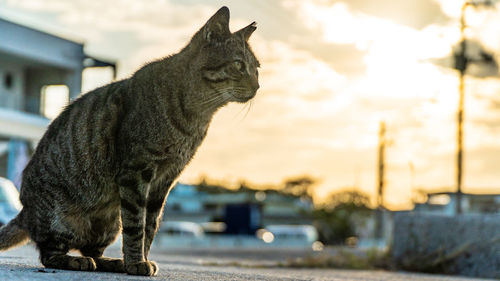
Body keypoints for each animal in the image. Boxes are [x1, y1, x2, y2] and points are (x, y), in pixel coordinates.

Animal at [0, 6, 262, 276]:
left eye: (258, 68)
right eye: (239, 65)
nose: (258, 86)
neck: (197, 115)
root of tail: (25, 211)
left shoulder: (164, 180)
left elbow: (150, 226)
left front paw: (139, 260)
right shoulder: (137, 172)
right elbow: (136, 225)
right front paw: (137, 262)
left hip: (110, 223)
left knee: (93, 250)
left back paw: (114, 262)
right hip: (62, 219)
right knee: (49, 254)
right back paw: (77, 261)